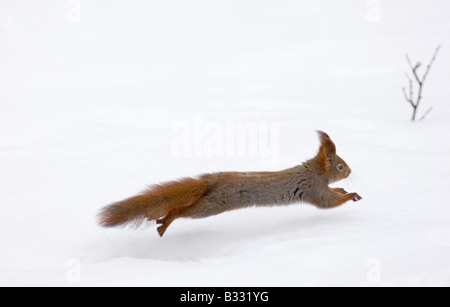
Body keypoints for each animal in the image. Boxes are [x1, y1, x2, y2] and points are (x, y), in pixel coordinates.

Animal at [98, 131, 362, 237]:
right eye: (340, 166)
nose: (350, 171)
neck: (316, 170)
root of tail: (213, 181)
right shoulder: (313, 188)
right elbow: (327, 201)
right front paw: (350, 194)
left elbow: (333, 192)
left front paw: (343, 189)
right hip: (210, 206)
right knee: (182, 211)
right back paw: (166, 221)